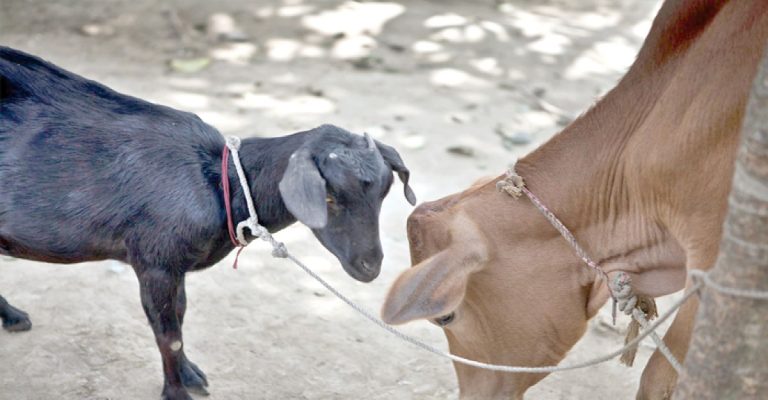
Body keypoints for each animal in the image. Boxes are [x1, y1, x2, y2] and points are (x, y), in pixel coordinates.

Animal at [0, 47, 414, 400]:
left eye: (383, 194)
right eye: (328, 197)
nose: (370, 266)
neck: (221, 180)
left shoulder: (174, 265)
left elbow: (180, 318)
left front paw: (190, 375)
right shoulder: (155, 261)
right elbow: (168, 334)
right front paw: (176, 392)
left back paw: (11, 316)